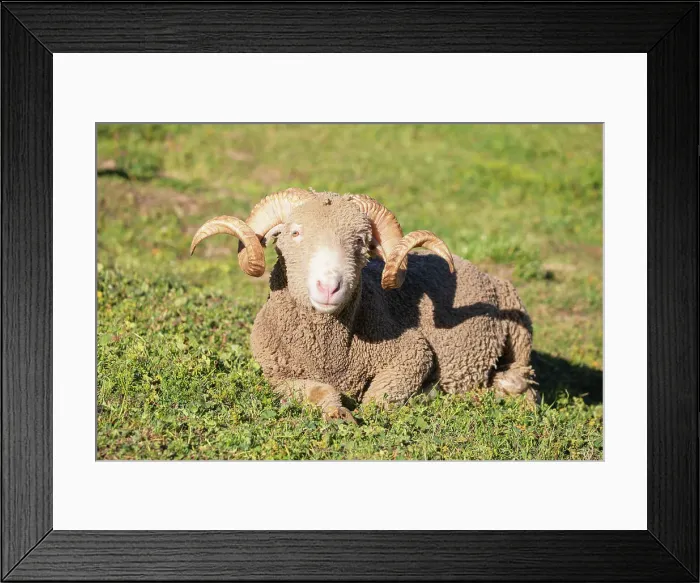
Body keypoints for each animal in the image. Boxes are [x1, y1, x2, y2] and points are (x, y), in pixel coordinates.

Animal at [190, 187, 538, 423]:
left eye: (360, 241)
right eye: (295, 232)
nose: (329, 286)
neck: (328, 355)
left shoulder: (412, 353)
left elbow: (380, 397)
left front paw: (392, 406)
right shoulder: (279, 377)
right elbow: (318, 391)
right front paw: (337, 414)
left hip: (518, 321)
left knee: (526, 384)